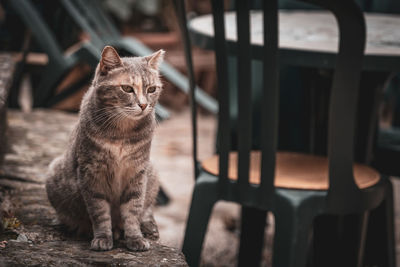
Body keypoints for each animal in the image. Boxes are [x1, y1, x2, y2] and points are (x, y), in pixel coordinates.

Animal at [46, 46, 164, 253]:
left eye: (151, 89)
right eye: (127, 88)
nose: (143, 105)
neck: (122, 132)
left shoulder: (137, 172)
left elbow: (133, 209)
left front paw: (135, 238)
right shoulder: (92, 173)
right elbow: (99, 211)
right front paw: (102, 237)